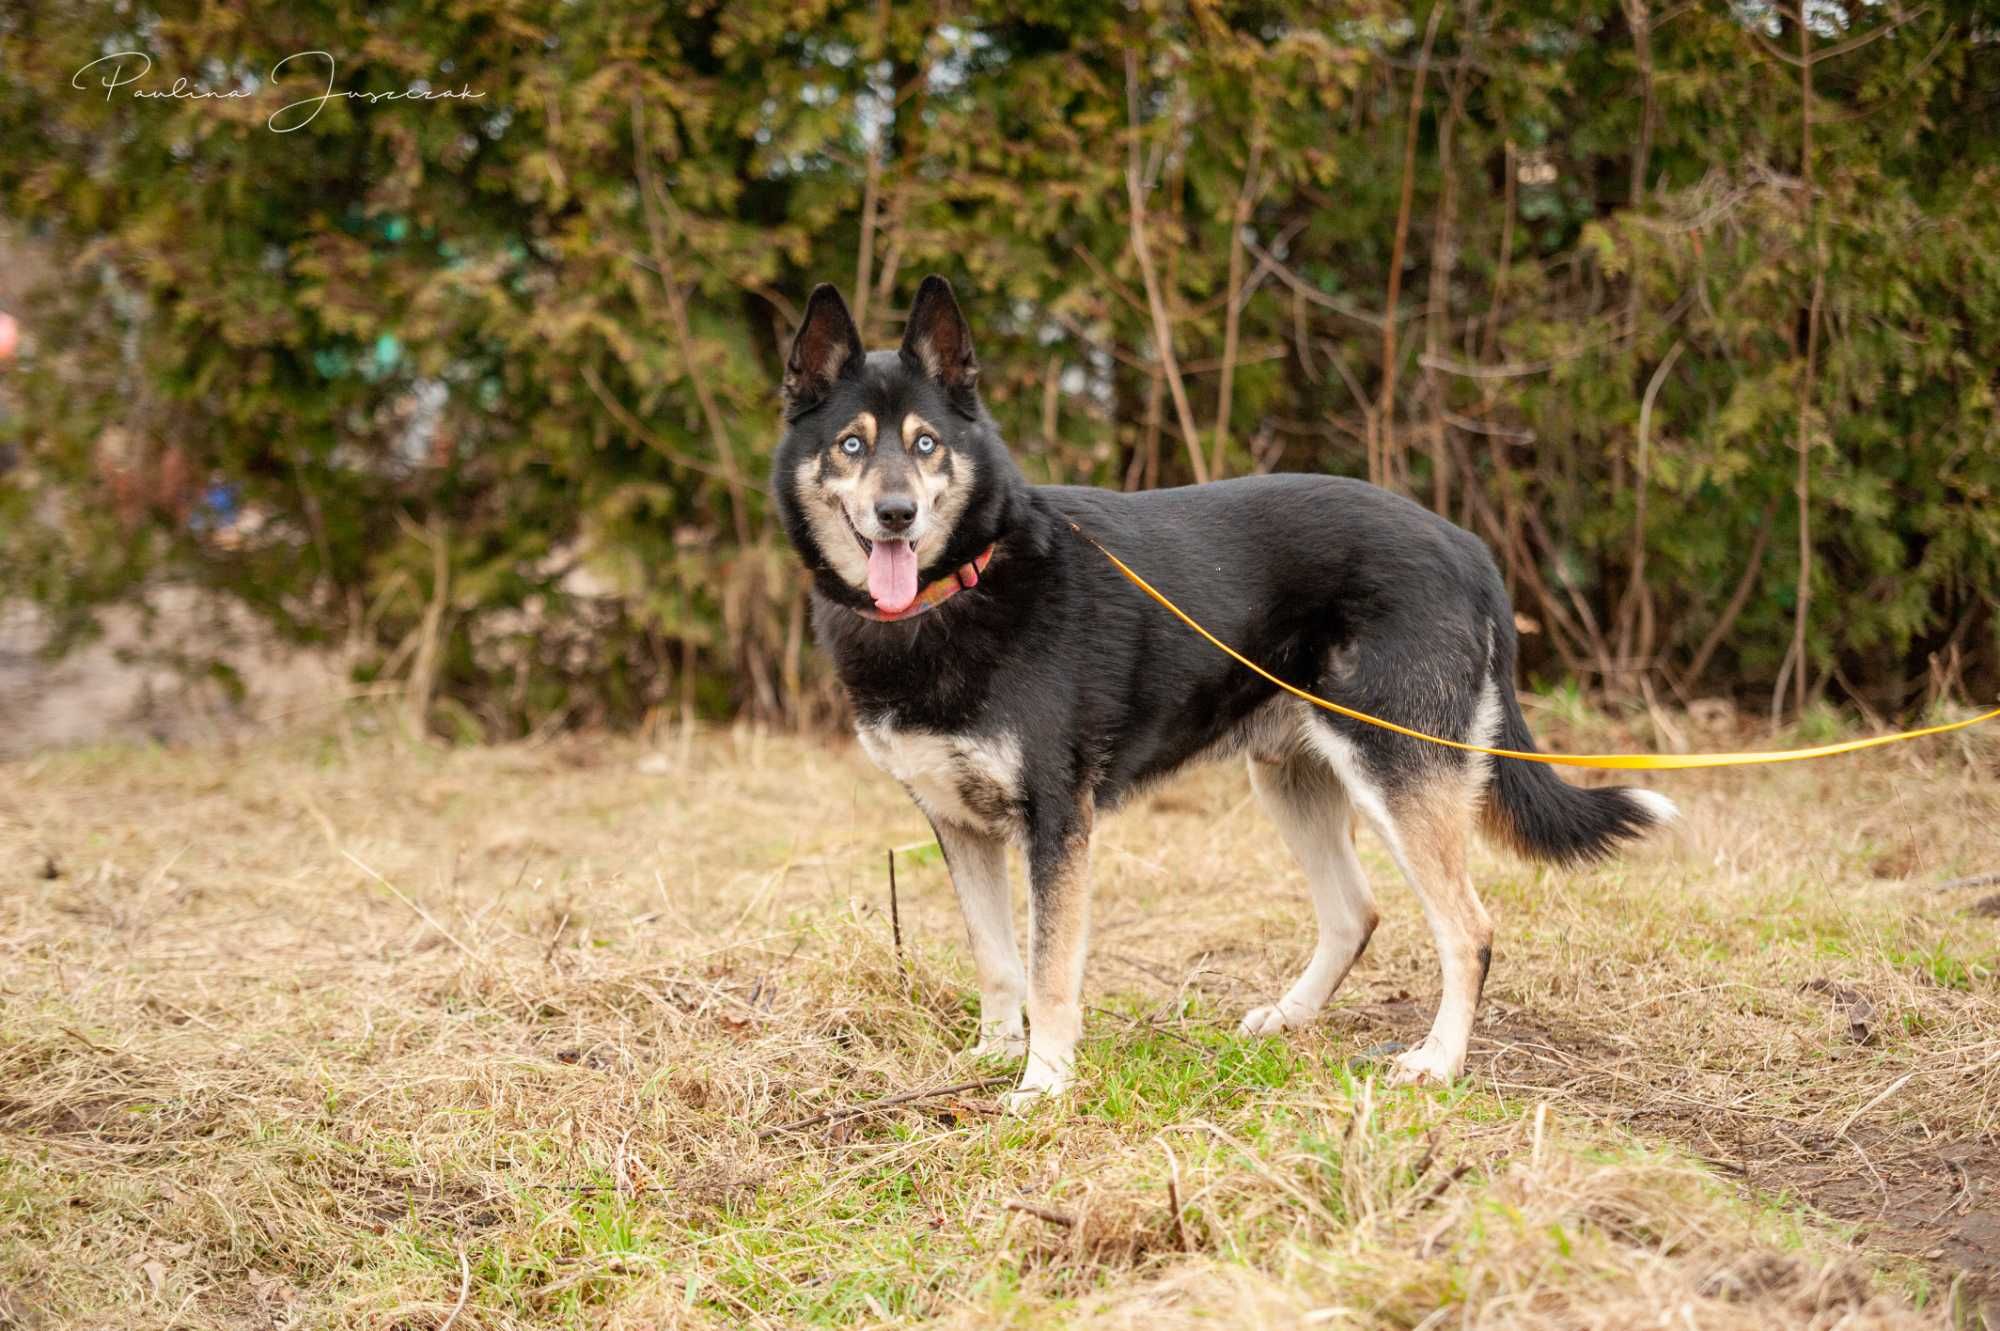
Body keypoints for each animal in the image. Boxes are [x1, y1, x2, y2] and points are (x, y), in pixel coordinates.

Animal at [764, 273, 1672, 1103]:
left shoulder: (1057, 820)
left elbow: (1049, 967)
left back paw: (1436, 1061)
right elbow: (996, 958)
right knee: (1355, 911)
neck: (961, 583)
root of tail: (1469, 547)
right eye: (851, 445)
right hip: (1294, 778)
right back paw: (1289, 1016)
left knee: (1468, 928)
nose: (897, 515)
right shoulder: (956, 822)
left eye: (926, 445)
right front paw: (992, 1056)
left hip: (1397, 770)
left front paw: (1044, 1081)